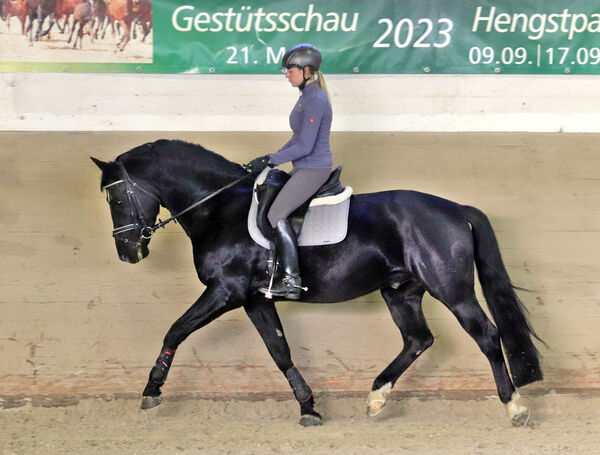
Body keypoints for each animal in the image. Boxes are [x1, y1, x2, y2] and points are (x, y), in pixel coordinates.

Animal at [92, 139, 544, 428]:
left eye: (116, 198)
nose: (128, 253)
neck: (218, 207)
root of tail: (455, 208)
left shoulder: (224, 291)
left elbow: (176, 330)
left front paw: (151, 391)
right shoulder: (254, 299)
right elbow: (279, 351)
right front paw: (308, 407)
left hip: (451, 290)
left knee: (486, 335)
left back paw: (515, 407)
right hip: (401, 291)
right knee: (418, 339)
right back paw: (376, 397)